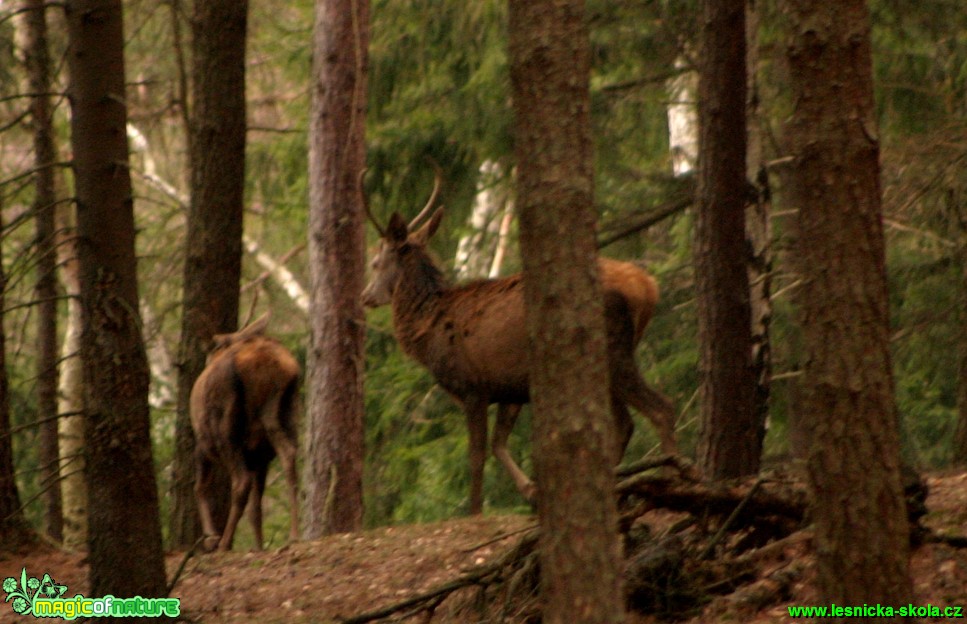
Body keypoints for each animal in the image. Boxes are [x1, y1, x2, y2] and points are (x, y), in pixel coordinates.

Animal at [187, 314, 296, 548]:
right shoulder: (258, 458)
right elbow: (256, 509)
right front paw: (258, 546)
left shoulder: (203, 444)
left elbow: (199, 487)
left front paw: (210, 536)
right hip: (281, 416)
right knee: (289, 456)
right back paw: (293, 535)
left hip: (226, 431)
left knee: (240, 481)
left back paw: (224, 542)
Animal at [360, 171, 676, 512]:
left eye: (376, 262)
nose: (365, 296)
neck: (426, 329)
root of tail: (647, 287)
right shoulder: (509, 389)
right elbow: (499, 445)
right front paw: (531, 490)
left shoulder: (472, 386)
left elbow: (477, 457)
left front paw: (476, 511)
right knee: (625, 423)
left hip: (614, 351)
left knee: (660, 408)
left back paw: (670, 477)